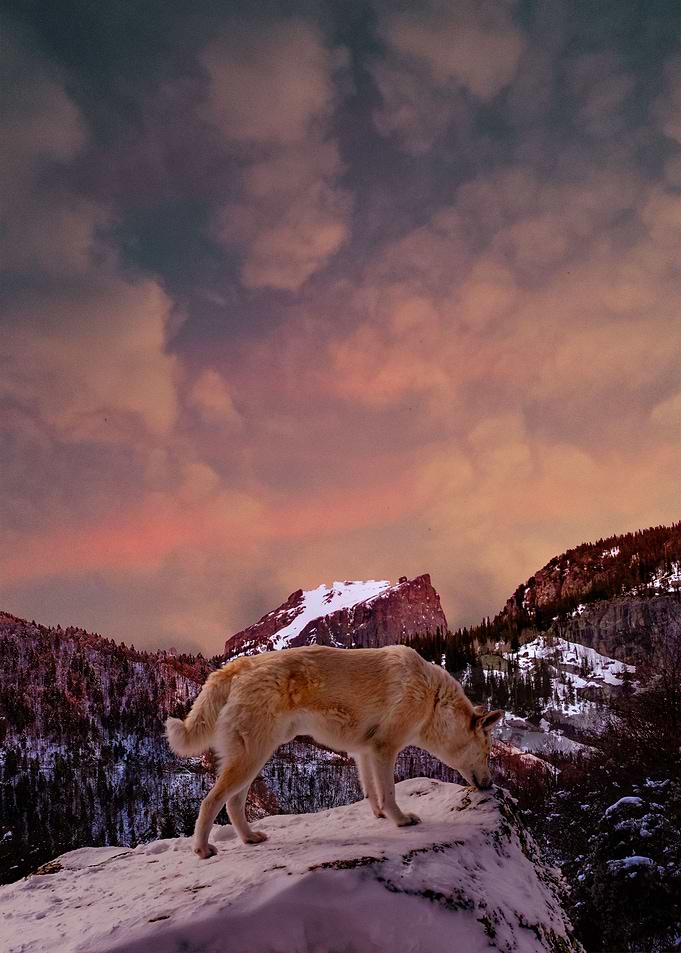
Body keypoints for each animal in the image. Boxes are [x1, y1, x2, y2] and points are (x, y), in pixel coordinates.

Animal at [166, 644, 503, 859]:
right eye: (487, 753)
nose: (489, 785)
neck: (433, 699)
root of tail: (238, 666)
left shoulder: (365, 752)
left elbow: (372, 793)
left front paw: (380, 816)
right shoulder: (385, 749)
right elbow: (390, 792)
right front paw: (400, 820)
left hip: (254, 759)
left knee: (233, 804)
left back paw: (249, 839)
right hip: (251, 758)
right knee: (210, 802)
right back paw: (202, 850)